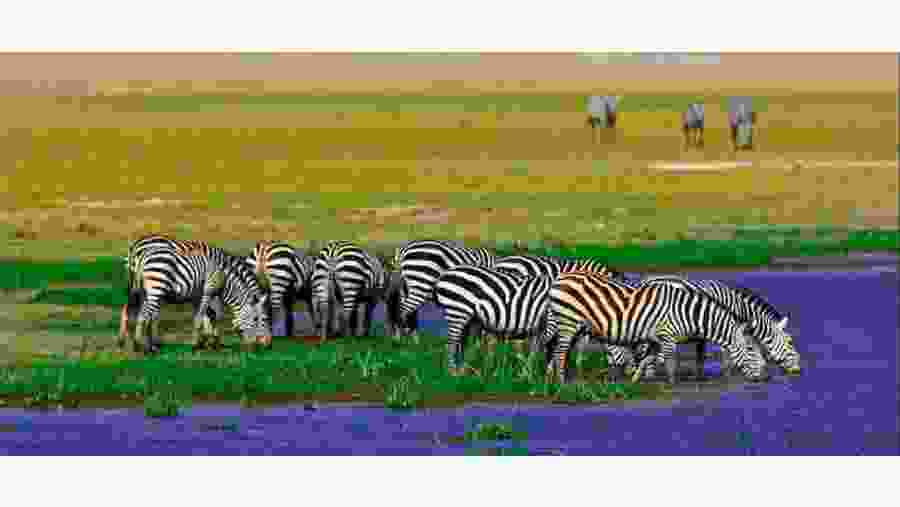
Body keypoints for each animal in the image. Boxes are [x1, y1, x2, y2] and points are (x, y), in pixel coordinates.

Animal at [120, 243, 271, 354]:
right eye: (258, 319)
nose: (264, 345)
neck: (225, 280)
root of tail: (143, 255)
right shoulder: (208, 290)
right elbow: (205, 316)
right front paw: (198, 344)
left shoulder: (198, 295)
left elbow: (207, 316)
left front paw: (208, 342)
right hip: (156, 288)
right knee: (144, 315)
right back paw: (140, 346)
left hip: (145, 291)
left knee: (143, 314)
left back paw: (147, 345)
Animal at [542, 271, 769, 385]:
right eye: (750, 349)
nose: (762, 378)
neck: (686, 313)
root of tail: (559, 279)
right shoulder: (667, 335)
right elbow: (665, 360)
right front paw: (668, 382)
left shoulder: (656, 338)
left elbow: (650, 359)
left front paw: (636, 378)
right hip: (568, 321)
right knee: (560, 352)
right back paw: (561, 381)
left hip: (576, 325)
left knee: (558, 350)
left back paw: (554, 377)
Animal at [615, 275, 801, 380]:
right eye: (790, 342)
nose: (797, 370)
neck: (736, 305)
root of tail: (645, 281)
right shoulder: (725, 326)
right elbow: (726, 353)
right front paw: (727, 373)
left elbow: (701, 356)